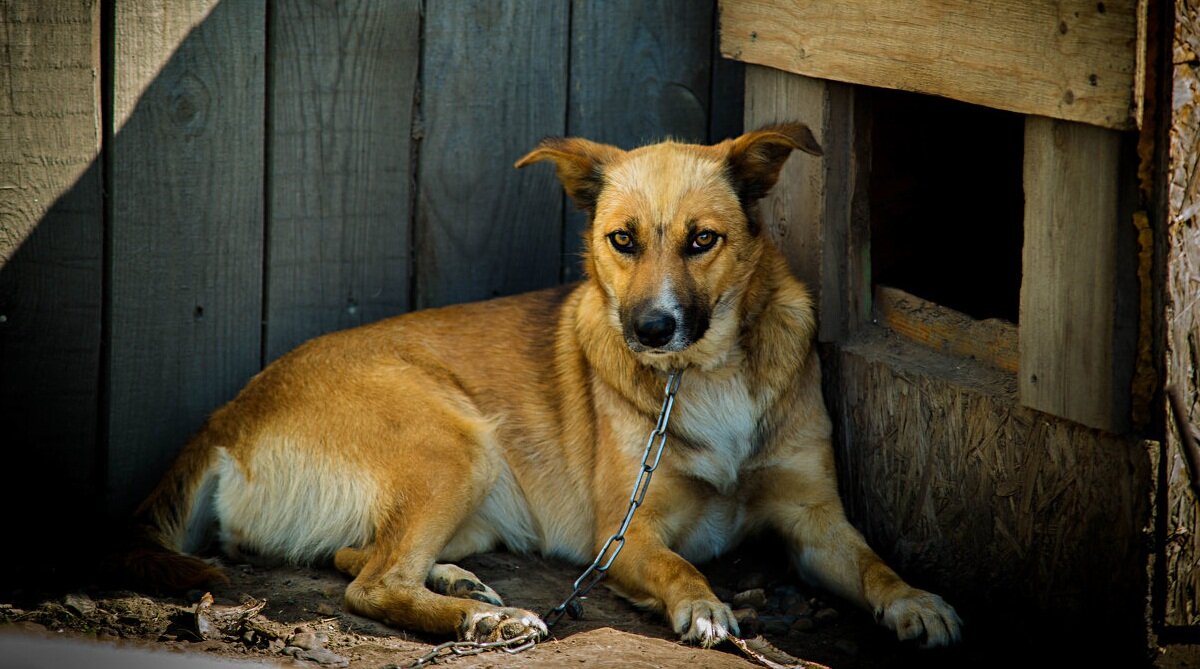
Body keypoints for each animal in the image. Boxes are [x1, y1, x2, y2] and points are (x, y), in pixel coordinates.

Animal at [126, 120, 960, 652]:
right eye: (621, 239)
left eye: (703, 240)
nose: (651, 328)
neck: (701, 373)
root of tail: (227, 415)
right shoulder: (625, 533)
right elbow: (680, 564)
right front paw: (703, 606)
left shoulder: (817, 520)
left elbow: (874, 563)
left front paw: (915, 601)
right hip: (455, 443)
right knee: (371, 584)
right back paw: (484, 622)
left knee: (355, 557)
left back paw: (458, 583)